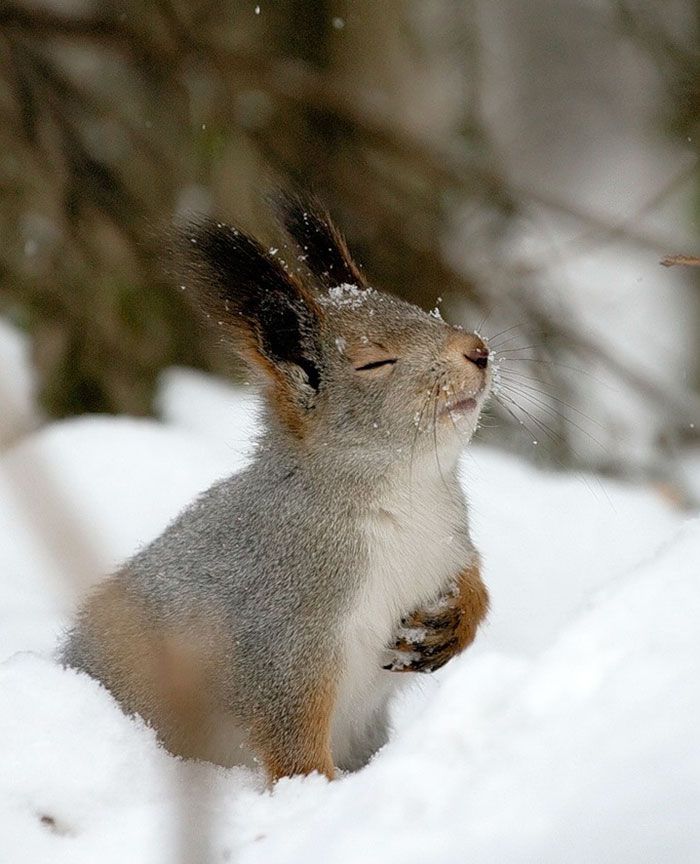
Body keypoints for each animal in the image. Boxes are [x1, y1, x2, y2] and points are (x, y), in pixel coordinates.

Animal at [60, 194, 490, 784]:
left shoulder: (449, 542)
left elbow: (474, 583)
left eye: (423, 311)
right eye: (374, 362)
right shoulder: (282, 630)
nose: (479, 349)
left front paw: (454, 621)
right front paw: (316, 792)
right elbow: (291, 736)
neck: (406, 496)